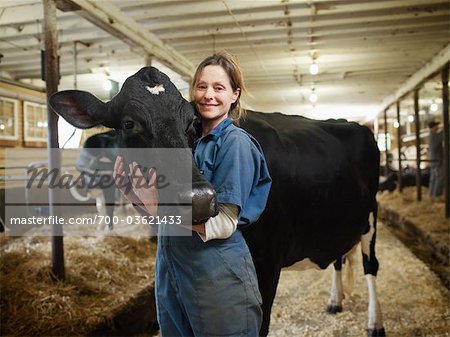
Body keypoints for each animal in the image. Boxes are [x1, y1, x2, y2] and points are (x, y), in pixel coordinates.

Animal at [50, 66, 386, 336]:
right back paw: (335, 301)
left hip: (371, 215)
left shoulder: (268, 262)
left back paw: (375, 323)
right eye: (130, 124)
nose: (199, 199)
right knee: (339, 256)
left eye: (191, 122)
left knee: (371, 264)